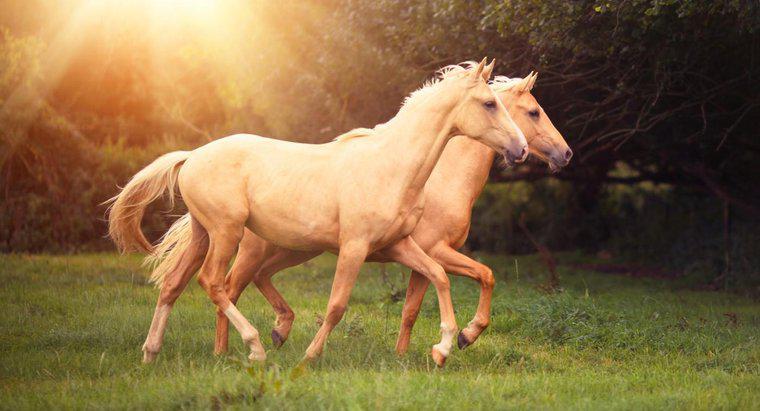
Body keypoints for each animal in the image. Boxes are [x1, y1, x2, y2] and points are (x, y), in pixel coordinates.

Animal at [108, 58, 528, 366]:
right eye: (490, 104)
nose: (521, 149)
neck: (390, 166)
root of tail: (192, 156)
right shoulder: (355, 247)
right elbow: (337, 305)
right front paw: (310, 356)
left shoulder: (399, 245)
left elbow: (438, 276)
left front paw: (445, 347)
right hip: (227, 233)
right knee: (214, 283)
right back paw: (256, 347)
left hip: (203, 232)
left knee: (173, 284)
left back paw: (151, 353)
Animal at [202, 68, 568, 358]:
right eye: (534, 112)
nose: (565, 153)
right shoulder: (435, 249)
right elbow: (475, 278)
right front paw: (461, 338)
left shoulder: (418, 252)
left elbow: (421, 304)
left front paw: (415, 352)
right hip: (251, 247)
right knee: (228, 287)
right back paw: (229, 351)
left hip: (296, 249)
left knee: (259, 278)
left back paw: (277, 332)